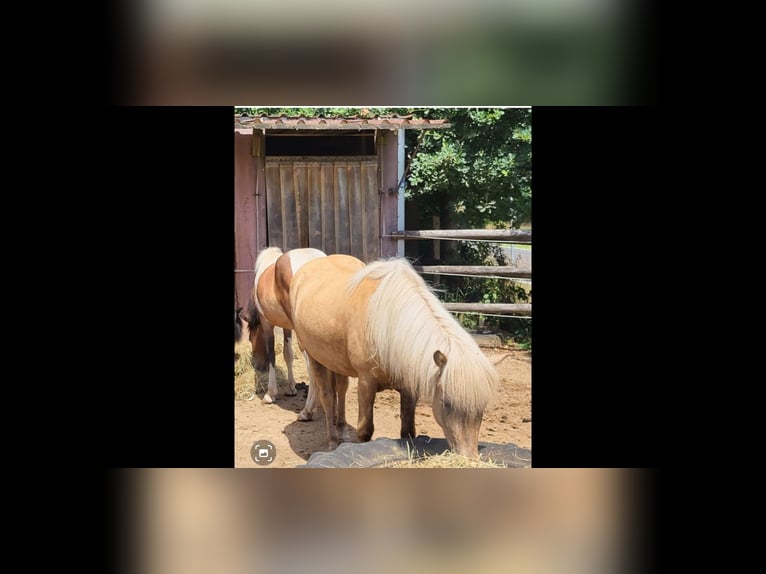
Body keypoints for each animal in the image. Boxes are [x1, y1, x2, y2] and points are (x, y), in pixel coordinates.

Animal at [240, 247, 328, 414]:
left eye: (250, 338)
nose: (257, 366)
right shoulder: (287, 326)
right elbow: (288, 354)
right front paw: (291, 389)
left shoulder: (267, 324)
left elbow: (272, 355)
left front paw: (270, 394)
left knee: (312, 366)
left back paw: (308, 410)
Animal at [286, 254, 499, 458]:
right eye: (446, 403)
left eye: (482, 407)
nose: (469, 457)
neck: (387, 325)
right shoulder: (366, 382)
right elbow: (365, 431)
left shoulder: (408, 388)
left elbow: (408, 431)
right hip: (314, 357)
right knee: (327, 397)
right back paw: (332, 441)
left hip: (336, 361)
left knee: (341, 389)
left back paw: (342, 433)